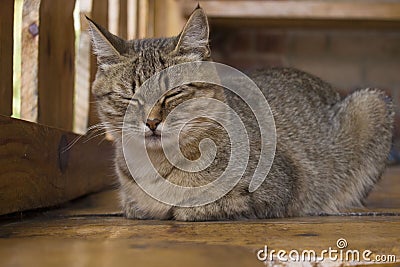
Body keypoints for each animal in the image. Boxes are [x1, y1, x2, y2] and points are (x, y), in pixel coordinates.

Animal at [87, 6, 394, 222]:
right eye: (129, 97)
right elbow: (139, 206)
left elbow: (202, 205)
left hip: (373, 102)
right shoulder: (133, 204)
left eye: (174, 93)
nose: (151, 122)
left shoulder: (280, 188)